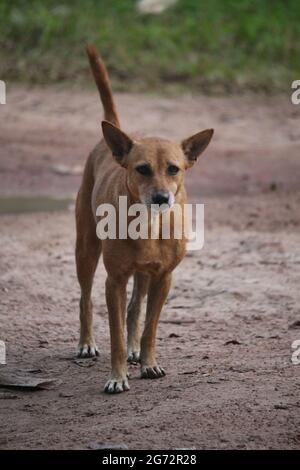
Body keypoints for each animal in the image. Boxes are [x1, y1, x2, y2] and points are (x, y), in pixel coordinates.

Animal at [76, 46, 214, 392]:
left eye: (174, 169)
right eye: (142, 169)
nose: (162, 198)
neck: (148, 225)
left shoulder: (163, 278)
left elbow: (150, 325)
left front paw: (148, 362)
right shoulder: (114, 281)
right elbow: (115, 336)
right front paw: (118, 377)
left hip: (143, 274)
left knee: (135, 309)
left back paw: (136, 350)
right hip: (85, 249)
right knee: (85, 298)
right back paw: (86, 343)